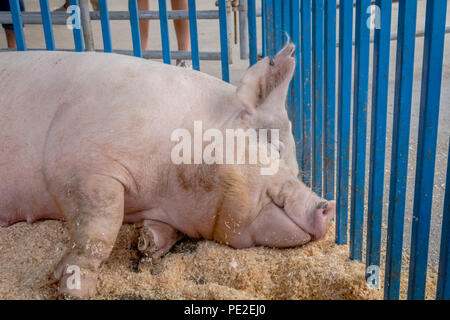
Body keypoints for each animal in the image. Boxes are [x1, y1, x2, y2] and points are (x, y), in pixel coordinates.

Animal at [0, 43, 336, 298]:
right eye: (275, 148)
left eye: (297, 167)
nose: (328, 206)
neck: (165, 186)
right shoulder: (80, 166)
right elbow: (100, 229)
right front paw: (73, 289)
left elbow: (159, 232)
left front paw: (145, 245)